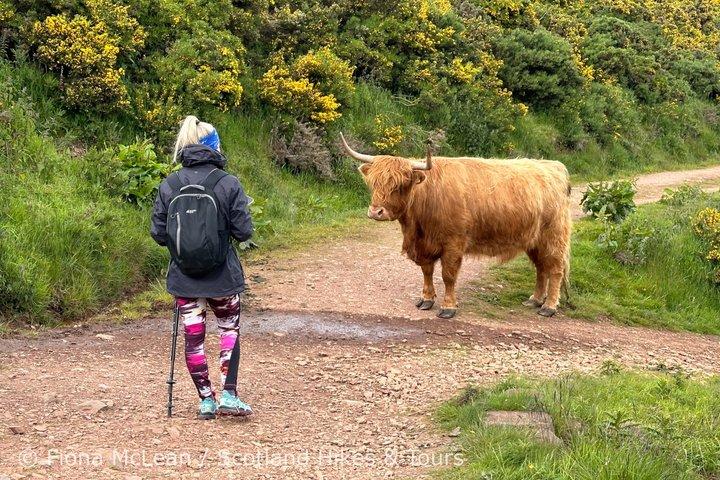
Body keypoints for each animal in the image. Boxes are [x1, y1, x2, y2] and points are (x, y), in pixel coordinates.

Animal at [340, 133, 572, 319]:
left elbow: (448, 276)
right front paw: (426, 299)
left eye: (400, 184)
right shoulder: (424, 245)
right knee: (541, 268)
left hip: (553, 237)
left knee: (555, 269)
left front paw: (448, 307)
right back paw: (535, 299)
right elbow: (427, 271)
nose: (376, 212)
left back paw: (549, 306)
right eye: (374, 183)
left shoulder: (453, 243)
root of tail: (554, 165)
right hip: (534, 240)